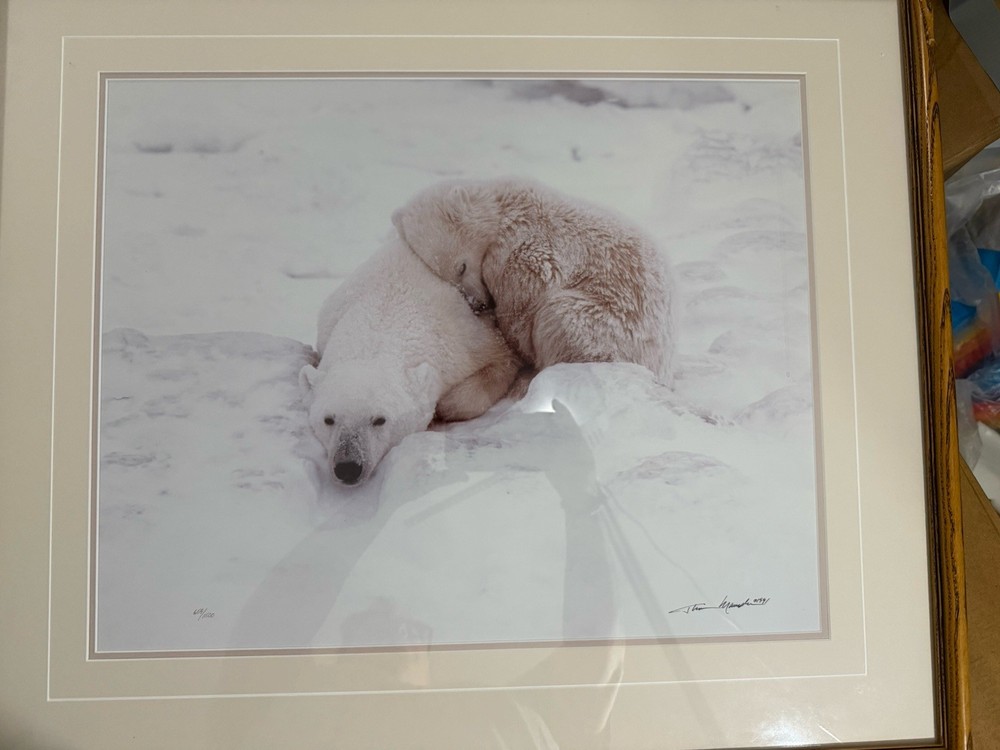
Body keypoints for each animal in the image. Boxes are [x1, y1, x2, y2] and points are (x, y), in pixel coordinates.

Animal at [299, 235, 522, 487]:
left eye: (379, 420)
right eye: (328, 419)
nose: (348, 467)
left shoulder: (470, 339)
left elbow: (501, 362)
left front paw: (443, 407)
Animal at [391, 177, 675, 386]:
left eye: (461, 267)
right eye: (447, 278)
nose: (477, 304)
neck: (501, 208)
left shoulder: (520, 245)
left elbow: (528, 292)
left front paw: (511, 337)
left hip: (611, 326)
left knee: (560, 318)